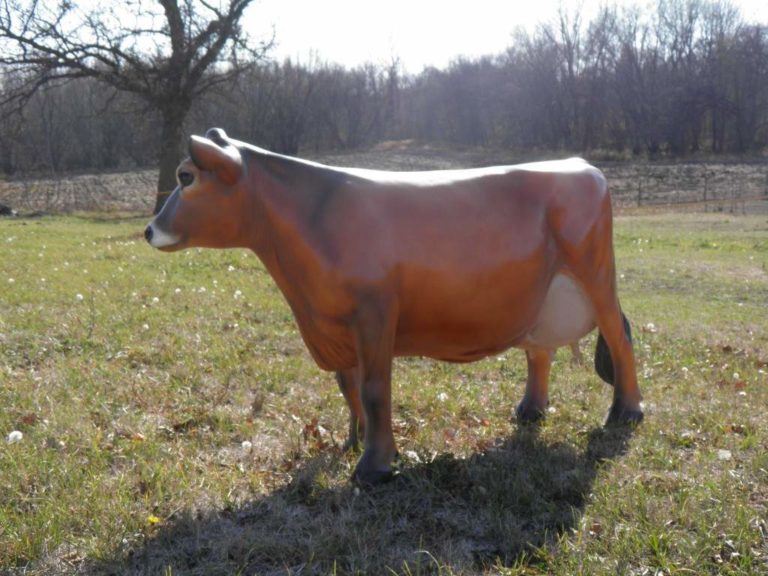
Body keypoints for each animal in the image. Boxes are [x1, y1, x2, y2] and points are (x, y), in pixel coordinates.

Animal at [145, 128, 643, 485]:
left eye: (185, 177)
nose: (149, 230)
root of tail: (580, 165)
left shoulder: (374, 313)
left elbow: (374, 388)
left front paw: (374, 466)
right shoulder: (335, 321)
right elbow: (348, 388)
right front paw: (354, 441)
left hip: (597, 274)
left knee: (619, 340)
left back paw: (626, 413)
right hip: (539, 295)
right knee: (539, 350)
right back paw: (530, 411)